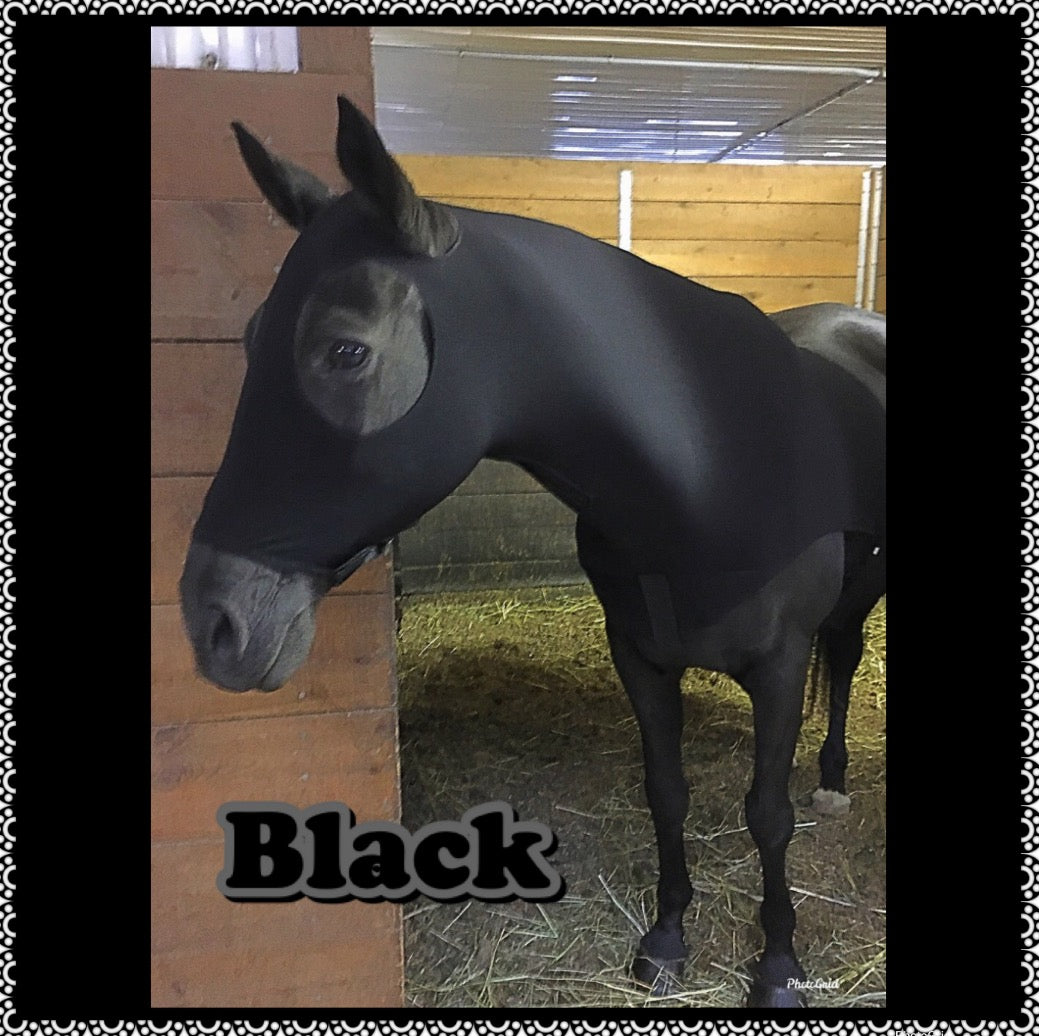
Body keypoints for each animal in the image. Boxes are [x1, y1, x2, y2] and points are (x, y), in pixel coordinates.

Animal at [179, 95, 886, 1008]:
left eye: (345, 350)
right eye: (248, 338)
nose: (213, 621)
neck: (704, 468)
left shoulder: (778, 663)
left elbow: (766, 812)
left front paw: (777, 965)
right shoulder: (639, 655)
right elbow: (666, 794)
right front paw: (665, 939)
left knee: (847, 655)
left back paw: (830, 780)